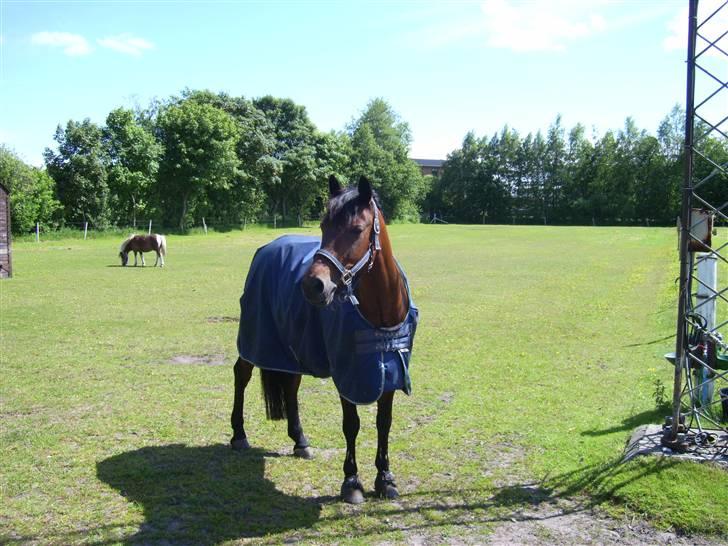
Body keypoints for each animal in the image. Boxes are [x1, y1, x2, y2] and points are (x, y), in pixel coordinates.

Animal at [230, 174, 418, 502]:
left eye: (357, 229)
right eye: (322, 226)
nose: (313, 285)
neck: (379, 312)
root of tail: (268, 247)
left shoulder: (390, 370)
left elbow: (384, 423)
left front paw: (385, 478)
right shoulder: (348, 374)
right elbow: (351, 424)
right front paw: (352, 482)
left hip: (290, 349)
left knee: (291, 385)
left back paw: (300, 440)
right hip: (255, 337)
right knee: (241, 374)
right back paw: (239, 435)